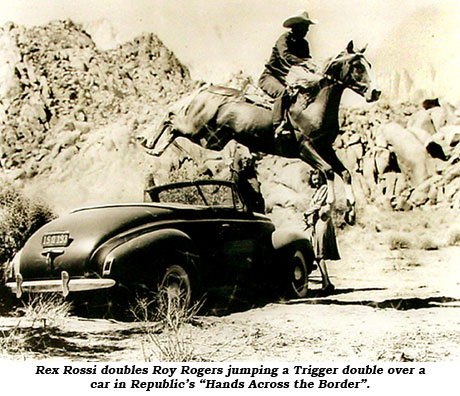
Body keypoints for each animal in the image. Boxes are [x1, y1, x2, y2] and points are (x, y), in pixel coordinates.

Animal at [141, 41, 380, 221]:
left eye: (369, 64)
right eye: (357, 66)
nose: (375, 92)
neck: (311, 105)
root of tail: (209, 90)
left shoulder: (324, 148)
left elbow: (345, 173)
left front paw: (350, 211)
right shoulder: (305, 149)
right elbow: (329, 171)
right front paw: (328, 206)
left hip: (211, 139)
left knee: (174, 127)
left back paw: (154, 148)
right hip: (196, 126)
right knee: (170, 117)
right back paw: (148, 143)